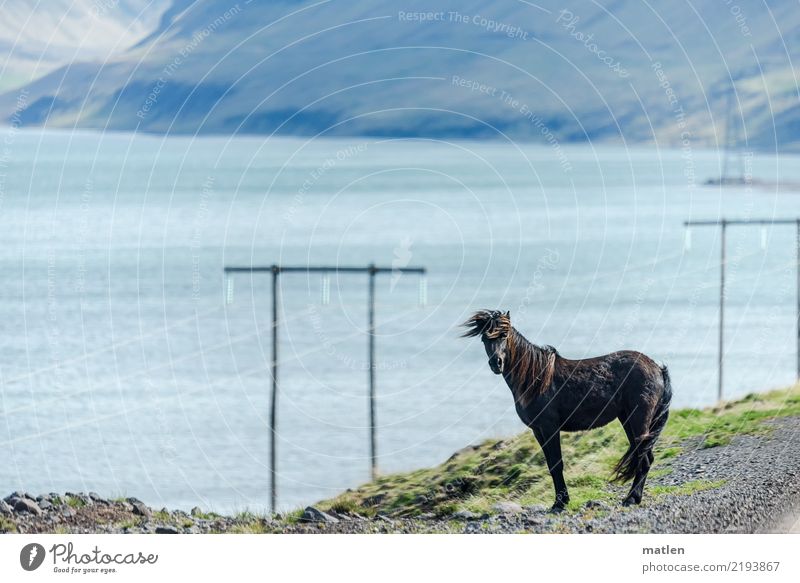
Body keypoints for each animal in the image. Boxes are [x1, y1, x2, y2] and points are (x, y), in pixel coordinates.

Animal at [462, 310, 668, 512]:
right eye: (484, 338)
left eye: (504, 335)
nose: (496, 363)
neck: (535, 379)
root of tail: (657, 368)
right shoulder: (538, 431)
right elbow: (550, 465)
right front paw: (561, 501)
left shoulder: (550, 428)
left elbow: (556, 464)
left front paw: (559, 503)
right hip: (627, 419)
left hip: (639, 419)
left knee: (644, 459)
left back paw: (631, 499)